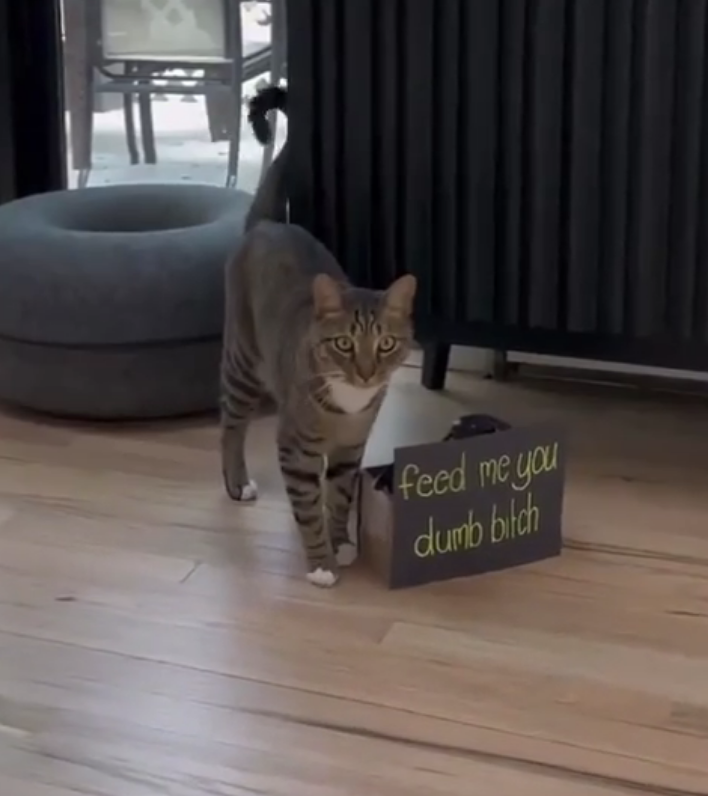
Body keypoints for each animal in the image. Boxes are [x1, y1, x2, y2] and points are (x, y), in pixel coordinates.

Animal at [221, 84, 418, 588]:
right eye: (344, 344)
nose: (366, 374)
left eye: (385, 344)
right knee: (230, 425)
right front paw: (321, 563)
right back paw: (237, 482)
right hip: (242, 362)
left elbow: (341, 497)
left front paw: (343, 542)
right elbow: (308, 506)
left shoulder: (351, 448)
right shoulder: (296, 448)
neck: (347, 405)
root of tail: (268, 223)